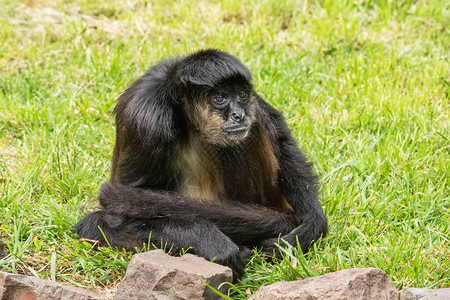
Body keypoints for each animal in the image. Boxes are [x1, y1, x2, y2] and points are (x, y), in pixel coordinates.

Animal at [74, 48, 326, 280]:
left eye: (242, 95)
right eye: (220, 98)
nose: (239, 114)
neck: (182, 115)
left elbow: (281, 136)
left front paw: (312, 226)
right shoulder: (147, 119)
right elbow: (119, 210)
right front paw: (211, 242)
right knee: (95, 223)